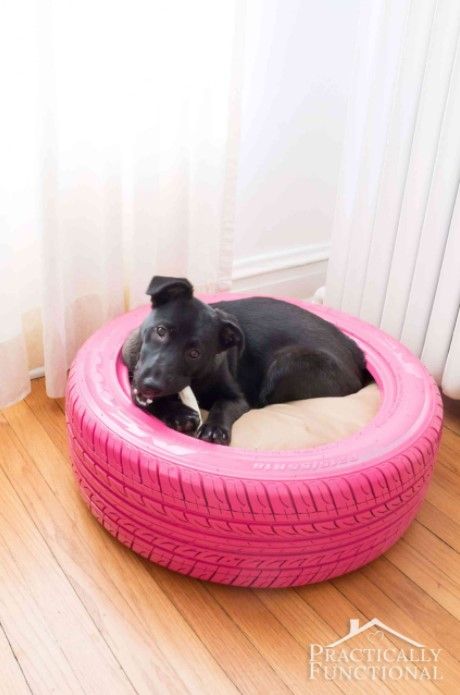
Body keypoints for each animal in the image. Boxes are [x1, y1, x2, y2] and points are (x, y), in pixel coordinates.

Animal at [121, 276, 366, 446]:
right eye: (161, 331)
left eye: (195, 353)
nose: (151, 385)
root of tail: (357, 355)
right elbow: (146, 400)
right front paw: (179, 413)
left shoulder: (237, 398)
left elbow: (222, 406)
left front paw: (214, 429)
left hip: (287, 363)